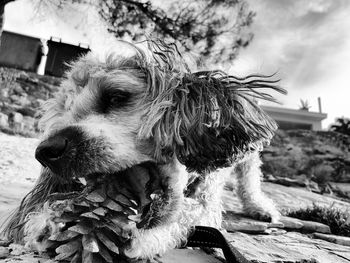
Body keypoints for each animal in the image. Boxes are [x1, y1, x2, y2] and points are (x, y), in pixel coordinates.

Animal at [2, 40, 286, 260]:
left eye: (116, 97)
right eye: (59, 120)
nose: (46, 152)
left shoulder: (206, 201)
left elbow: (184, 216)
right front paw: (44, 221)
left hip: (248, 156)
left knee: (250, 176)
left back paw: (259, 206)